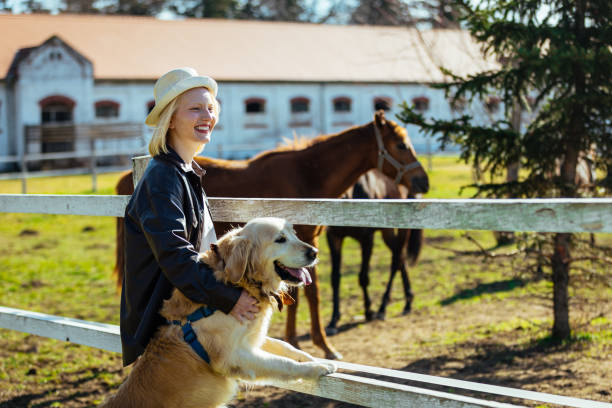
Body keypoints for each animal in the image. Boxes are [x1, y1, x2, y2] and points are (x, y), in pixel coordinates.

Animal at [103, 218, 338, 408]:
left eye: (294, 234)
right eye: (280, 239)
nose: (315, 252)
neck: (240, 285)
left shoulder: (251, 338)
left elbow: (285, 346)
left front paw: (312, 357)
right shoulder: (233, 356)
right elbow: (282, 363)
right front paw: (317, 367)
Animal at [326, 171, 426, 334]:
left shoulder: (367, 238)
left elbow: (363, 277)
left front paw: (368, 311)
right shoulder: (334, 237)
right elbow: (335, 278)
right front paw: (333, 320)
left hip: (401, 228)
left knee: (396, 261)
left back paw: (382, 309)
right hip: (387, 231)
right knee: (400, 259)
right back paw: (408, 302)